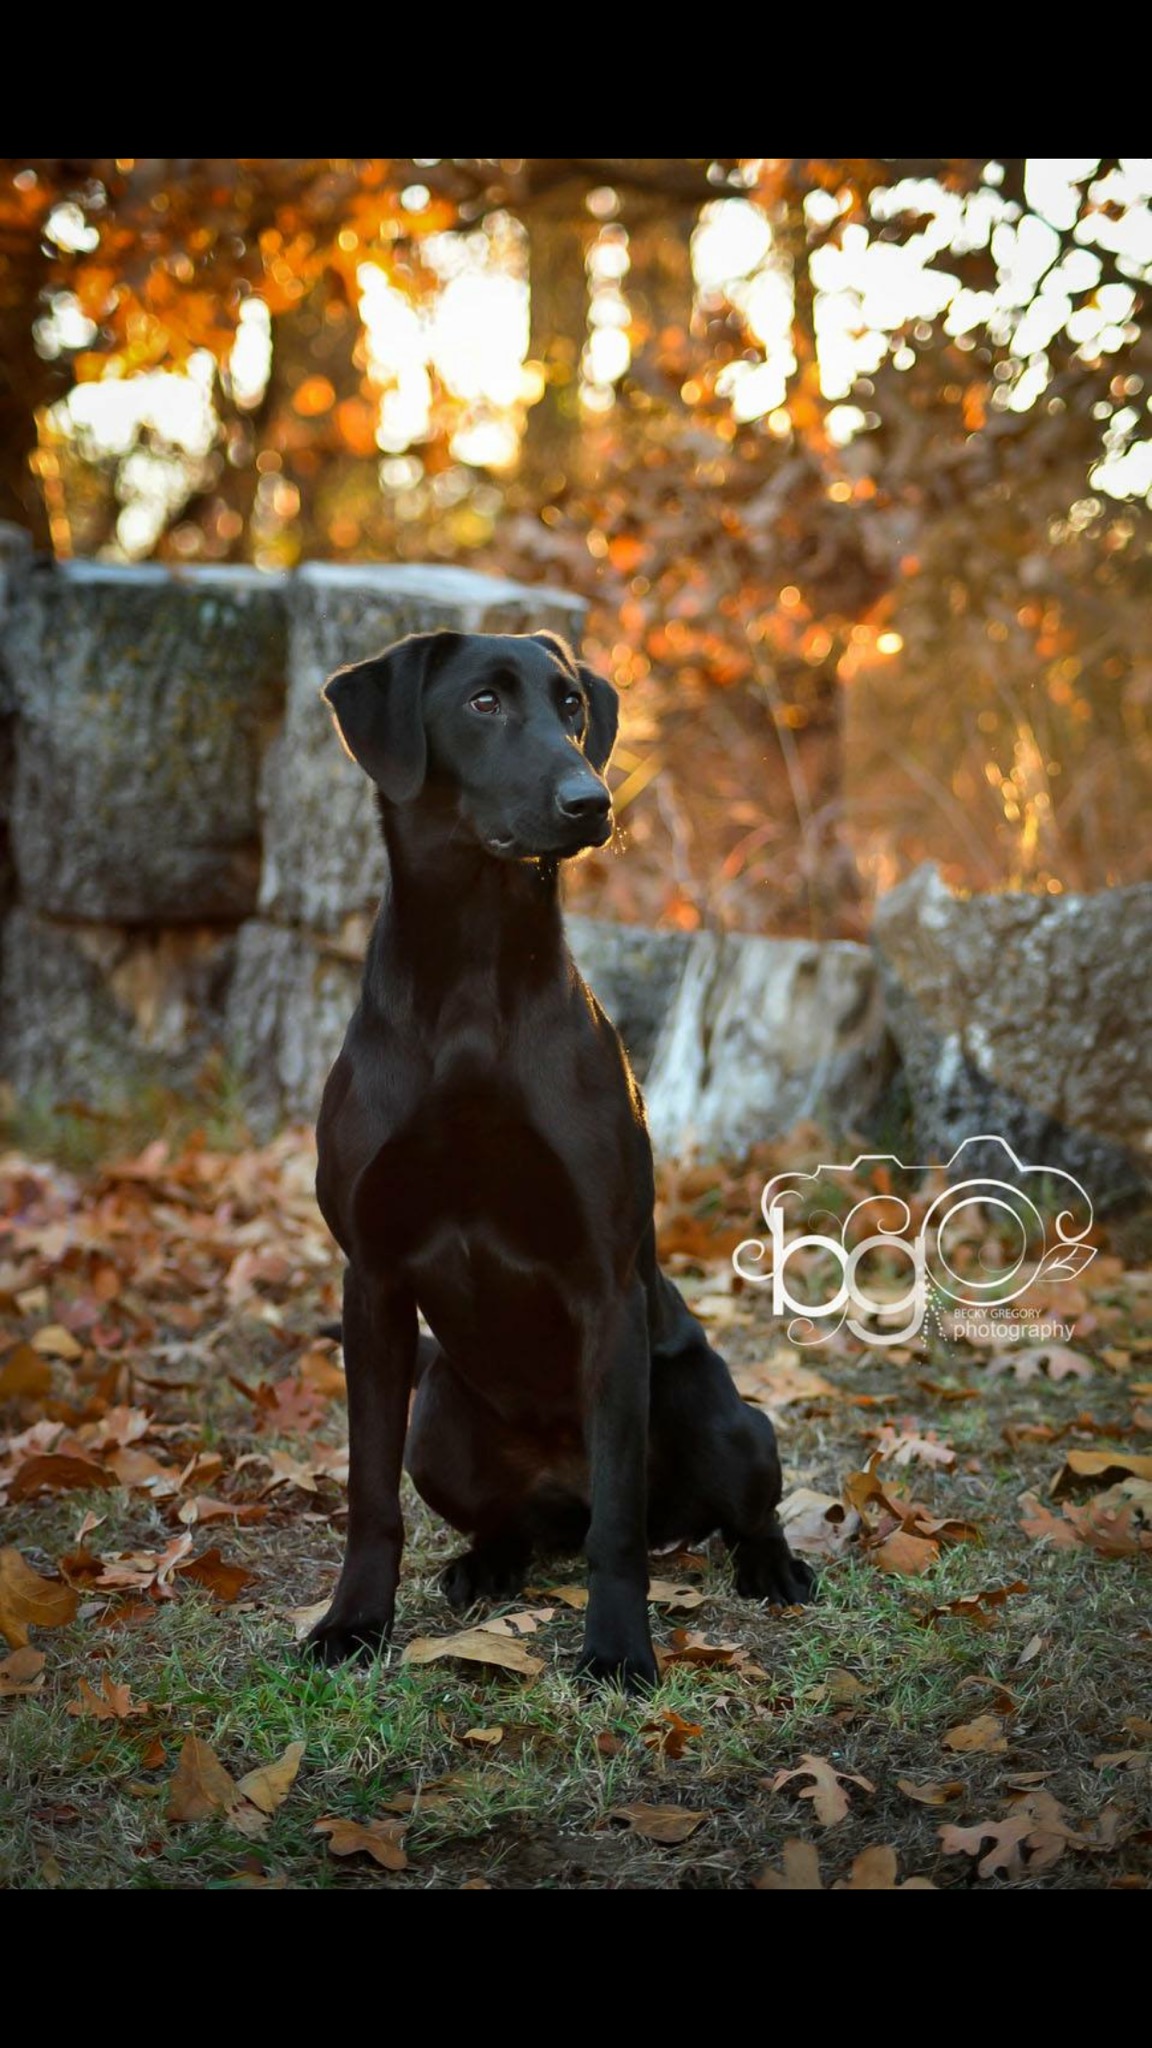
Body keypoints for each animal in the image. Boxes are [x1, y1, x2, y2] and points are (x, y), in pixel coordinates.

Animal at [305, 630, 807, 1687]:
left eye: (572, 705)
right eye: (484, 702)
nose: (592, 801)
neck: (472, 968)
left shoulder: (603, 1284)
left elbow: (619, 1524)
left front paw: (617, 1650)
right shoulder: (371, 1278)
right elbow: (368, 1494)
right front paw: (354, 1622)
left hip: (727, 1419)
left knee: (723, 1511)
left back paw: (773, 1567)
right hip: (439, 1421)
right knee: (508, 1525)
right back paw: (483, 1566)